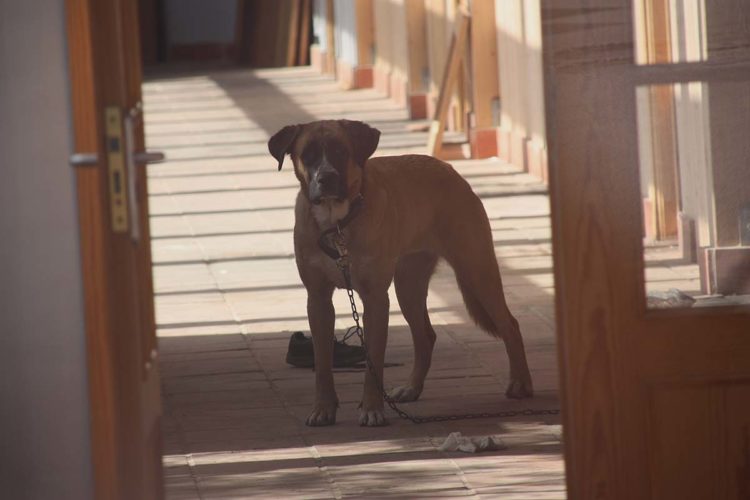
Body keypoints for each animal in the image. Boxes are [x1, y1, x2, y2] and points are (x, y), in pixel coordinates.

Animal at [270, 118, 536, 426]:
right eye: (308, 154)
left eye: (339, 151)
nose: (326, 178)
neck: (336, 222)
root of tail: (449, 171)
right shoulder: (318, 301)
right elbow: (323, 364)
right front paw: (324, 408)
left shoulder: (375, 299)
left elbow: (373, 363)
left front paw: (371, 408)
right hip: (408, 285)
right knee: (426, 336)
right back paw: (412, 388)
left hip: (477, 270)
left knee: (510, 325)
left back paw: (520, 382)